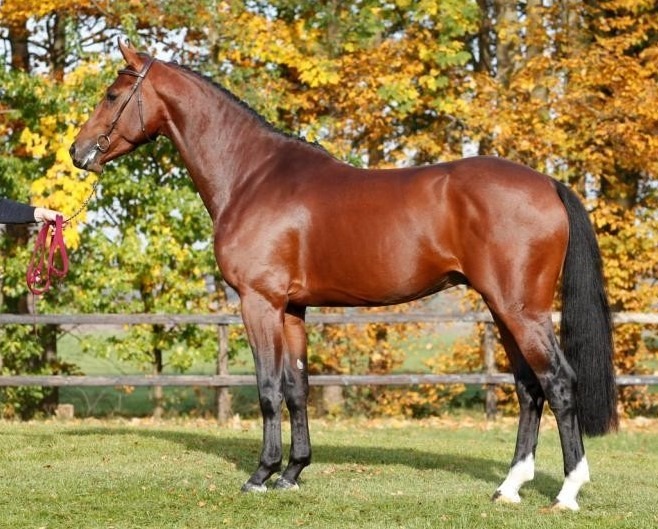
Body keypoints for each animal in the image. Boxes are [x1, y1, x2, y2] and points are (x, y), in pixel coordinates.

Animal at [70, 41, 617, 511]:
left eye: (112, 95)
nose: (78, 153)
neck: (252, 176)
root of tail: (547, 183)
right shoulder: (292, 308)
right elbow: (296, 388)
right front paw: (293, 473)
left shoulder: (259, 302)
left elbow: (268, 388)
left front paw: (261, 475)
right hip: (504, 310)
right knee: (529, 389)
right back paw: (509, 487)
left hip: (521, 311)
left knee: (559, 384)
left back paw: (568, 492)